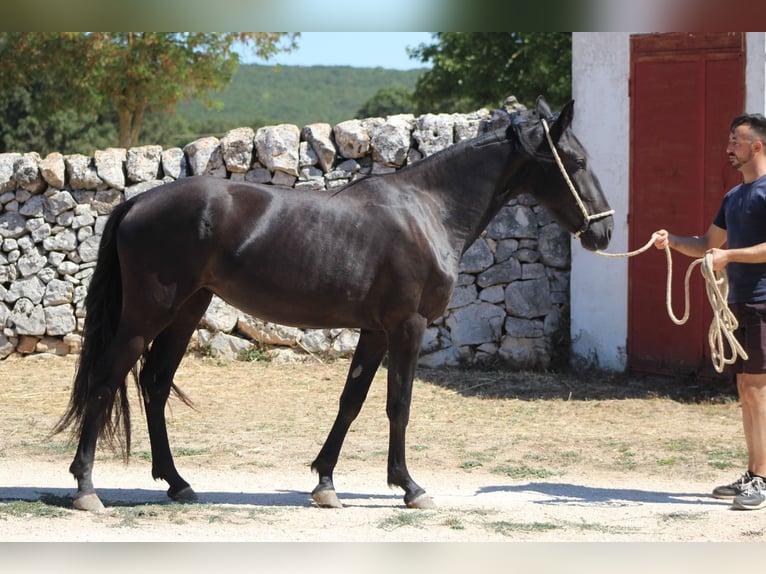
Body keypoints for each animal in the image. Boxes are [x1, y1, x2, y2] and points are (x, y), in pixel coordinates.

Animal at [52, 96, 613, 512]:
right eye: (578, 163)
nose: (604, 231)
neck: (427, 211)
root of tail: (137, 201)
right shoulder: (407, 327)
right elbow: (398, 404)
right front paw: (410, 487)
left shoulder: (377, 330)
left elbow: (352, 401)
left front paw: (325, 482)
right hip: (147, 314)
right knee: (107, 378)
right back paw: (86, 488)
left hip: (186, 311)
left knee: (153, 382)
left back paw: (177, 482)